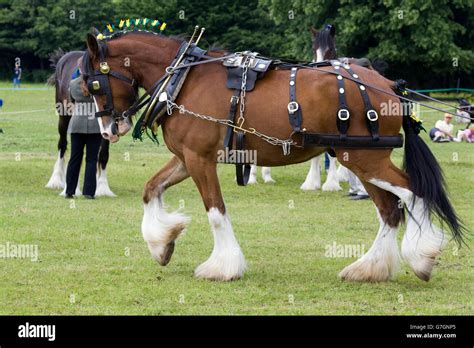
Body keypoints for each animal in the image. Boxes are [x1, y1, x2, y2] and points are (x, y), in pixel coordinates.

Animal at [82, 28, 466, 282]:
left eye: (94, 84)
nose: (109, 130)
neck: (184, 79)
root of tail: (388, 86)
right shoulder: (186, 158)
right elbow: (151, 189)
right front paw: (162, 244)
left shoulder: (200, 159)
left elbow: (216, 212)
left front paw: (222, 266)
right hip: (362, 159)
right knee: (389, 210)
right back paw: (369, 268)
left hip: (364, 159)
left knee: (412, 193)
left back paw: (420, 258)